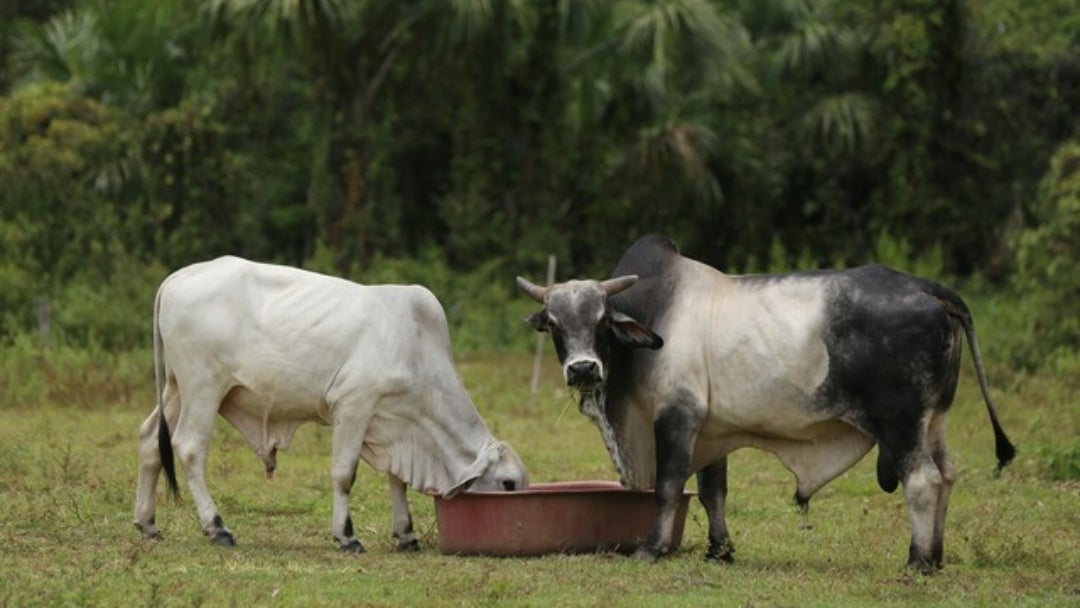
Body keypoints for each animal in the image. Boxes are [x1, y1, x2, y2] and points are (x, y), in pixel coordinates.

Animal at [132, 257, 529, 552]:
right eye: (508, 484)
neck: (418, 351)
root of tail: (178, 276)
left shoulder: (396, 423)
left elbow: (397, 479)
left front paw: (406, 534)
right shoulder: (354, 406)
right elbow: (344, 474)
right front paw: (346, 536)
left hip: (175, 388)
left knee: (151, 441)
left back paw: (147, 522)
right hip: (203, 388)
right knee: (189, 447)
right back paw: (216, 527)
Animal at [518, 235, 1015, 574]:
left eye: (602, 320)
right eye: (554, 324)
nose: (583, 369)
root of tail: (927, 289)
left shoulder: (677, 417)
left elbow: (668, 486)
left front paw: (652, 549)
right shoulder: (711, 430)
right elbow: (712, 492)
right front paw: (719, 551)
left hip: (901, 421)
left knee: (923, 481)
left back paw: (917, 561)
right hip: (935, 420)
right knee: (947, 475)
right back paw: (937, 555)